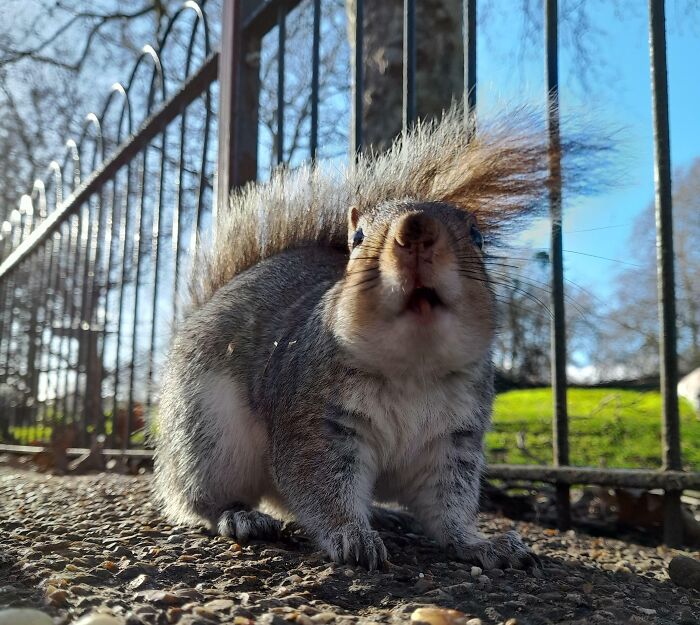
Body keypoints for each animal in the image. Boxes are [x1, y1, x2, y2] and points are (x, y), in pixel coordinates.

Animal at [152, 106, 596, 572]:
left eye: (476, 235)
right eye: (358, 237)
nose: (415, 229)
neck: (413, 366)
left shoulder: (452, 443)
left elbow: (449, 508)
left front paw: (481, 544)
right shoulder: (315, 423)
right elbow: (319, 487)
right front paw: (351, 536)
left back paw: (380, 513)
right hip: (208, 435)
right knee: (197, 498)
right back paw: (237, 516)